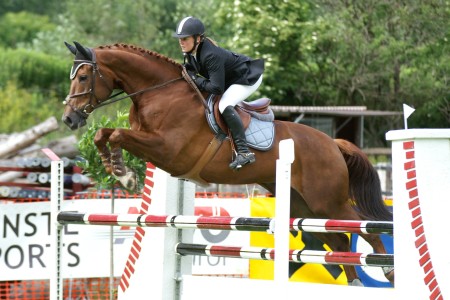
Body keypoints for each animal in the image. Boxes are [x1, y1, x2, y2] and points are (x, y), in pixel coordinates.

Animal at [61, 40, 392, 286]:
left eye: (83, 77)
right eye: (72, 77)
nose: (69, 119)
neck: (159, 93)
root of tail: (333, 143)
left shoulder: (168, 149)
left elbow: (117, 134)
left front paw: (125, 174)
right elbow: (105, 134)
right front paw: (115, 167)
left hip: (328, 202)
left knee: (366, 231)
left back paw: (387, 270)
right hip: (304, 207)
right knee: (339, 244)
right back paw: (356, 284)